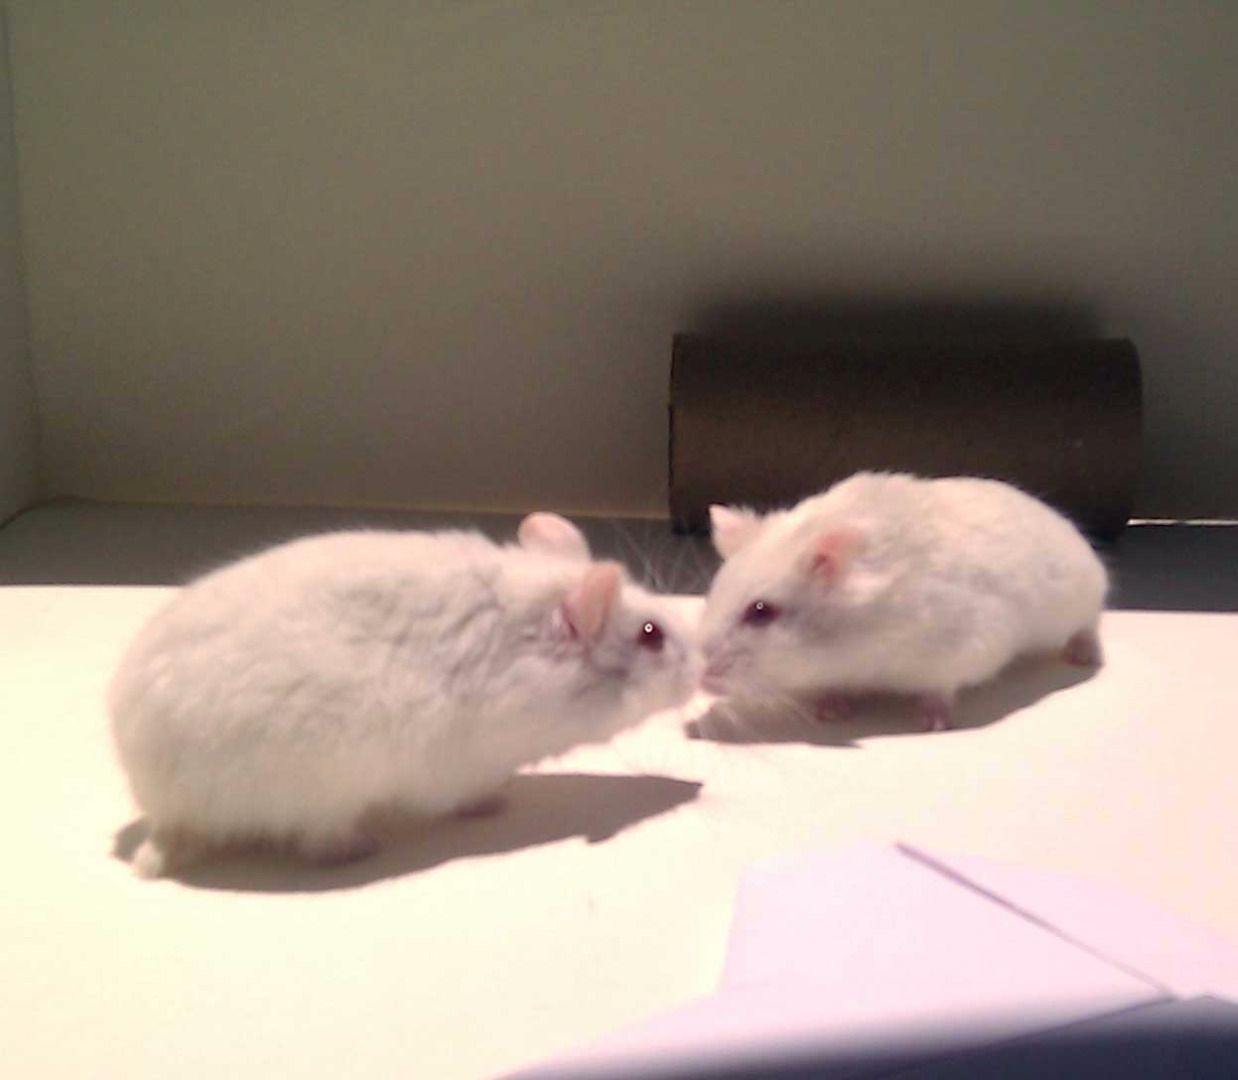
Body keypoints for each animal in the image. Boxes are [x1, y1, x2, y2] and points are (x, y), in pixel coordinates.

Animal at [109, 513, 697, 877]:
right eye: (651, 634)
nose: (703, 670)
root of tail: (164, 809)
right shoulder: (462, 769)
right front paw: (495, 803)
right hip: (324, 789)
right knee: (320, 843)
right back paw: (361, 849)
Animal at [699, 472, 1107, 731]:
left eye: (761, 612)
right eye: (712, 594)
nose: (699, 680)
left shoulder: (963, 648)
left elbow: (939, 690)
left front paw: (932, 724)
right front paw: (831, 712)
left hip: (1084, 598)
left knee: (1088, 627)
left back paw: (1080, 655)